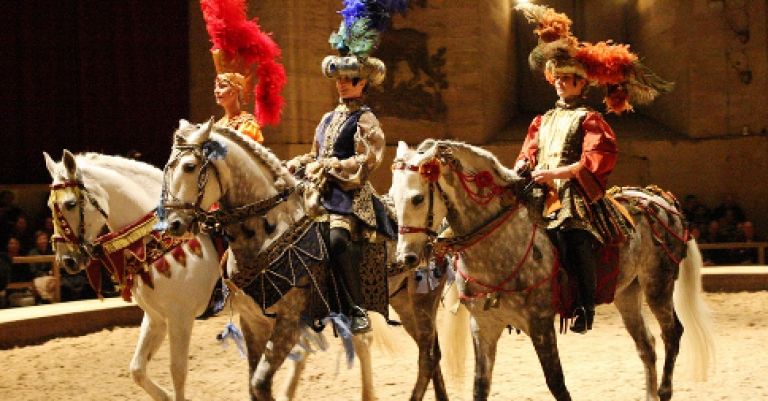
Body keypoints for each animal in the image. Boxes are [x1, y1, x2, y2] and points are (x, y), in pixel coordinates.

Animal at [44, 149, 220, 400]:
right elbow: (137, 369)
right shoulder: (156, 317)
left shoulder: (181, 317)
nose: (66, 260)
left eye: (70, 203)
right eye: (50, 204)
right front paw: (164, 395)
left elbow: (178, 371)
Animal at [390, 140, 712, 400]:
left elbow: (556, 383)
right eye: (392, 197)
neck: (502, 242)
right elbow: (480, 387)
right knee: (647, 345)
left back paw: (664, 391)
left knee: (672, 334)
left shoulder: (540, 324)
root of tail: (660, 199)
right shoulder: (483, 326)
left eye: (418, 198)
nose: (406, 257)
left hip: (658, 284)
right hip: (627, 294)